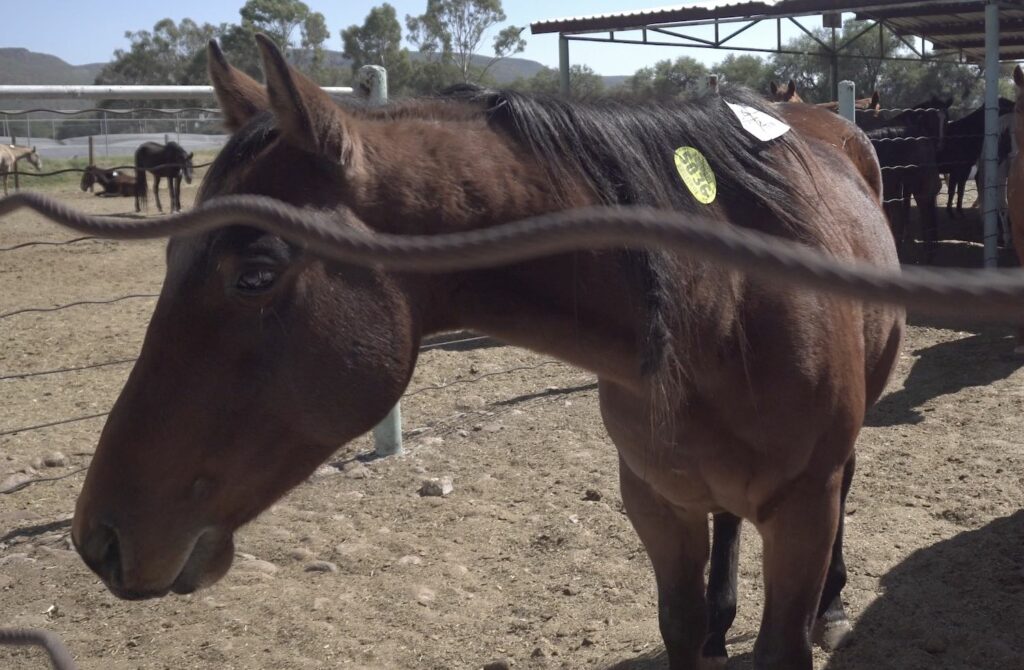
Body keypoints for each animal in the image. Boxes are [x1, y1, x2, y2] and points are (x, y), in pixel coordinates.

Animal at [72, 36, 901, 670]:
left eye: (253, 274)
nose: (97, 540)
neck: (723, 310)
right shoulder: (655, 504)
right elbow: (683, 626)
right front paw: (712, 626)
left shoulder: (801, 510)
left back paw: (833, 605)